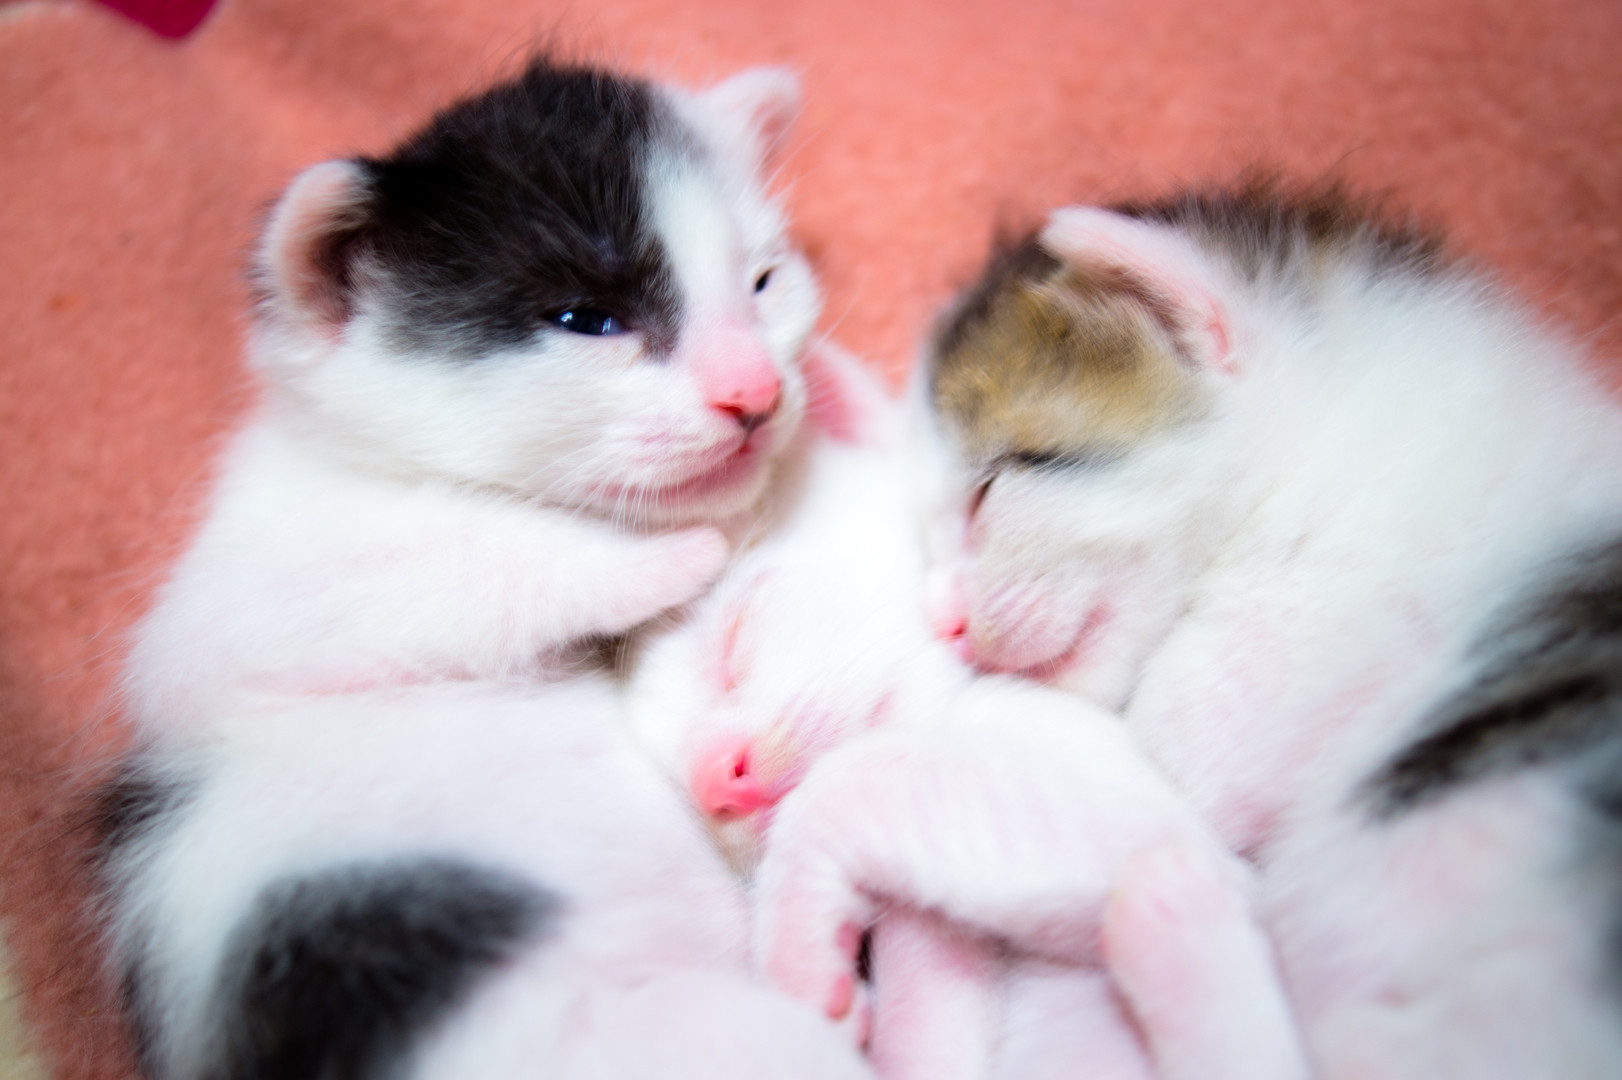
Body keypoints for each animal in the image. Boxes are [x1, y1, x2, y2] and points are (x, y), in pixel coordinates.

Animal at [98, 58, 877, 1080]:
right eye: (587, 319)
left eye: (763, 283)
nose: (755, 392)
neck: (385, 473)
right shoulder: (220, 632)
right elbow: (472, 561)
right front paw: (680, 548)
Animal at [628, 342, 1308, 1080]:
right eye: (683, 788)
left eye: (734, 633)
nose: (710, 780)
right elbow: (933, 1020)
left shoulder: (1117, 798)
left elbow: (844, 787)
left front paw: (795, 956)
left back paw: (1174, 918)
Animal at [754, 184, 1622, 1078]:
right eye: (926, 542)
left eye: (991, 486)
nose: (948, 624)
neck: (1318, 460)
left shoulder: (1260, 671)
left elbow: (879, 780)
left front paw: (794, 939)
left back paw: (1175, 924)